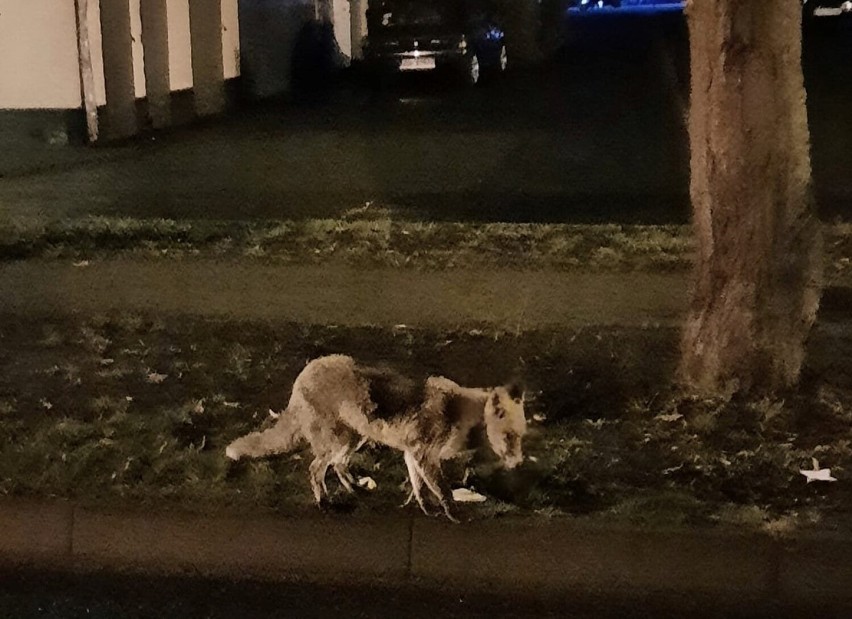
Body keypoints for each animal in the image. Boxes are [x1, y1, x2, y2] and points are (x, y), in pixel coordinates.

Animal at [225, 354, 524, 524]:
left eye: (520, 437)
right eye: (509, 437)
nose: (519, 463)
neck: (460, 413)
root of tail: (302, 376)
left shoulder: (412, 453)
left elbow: (419, 488)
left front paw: (426, 510)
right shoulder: (425, 454)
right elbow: (444, 491)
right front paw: (454, 516)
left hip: (353, 439)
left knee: (338, 465)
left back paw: (355, 489)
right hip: (338, 440)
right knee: (315, 469)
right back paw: (324, 503)